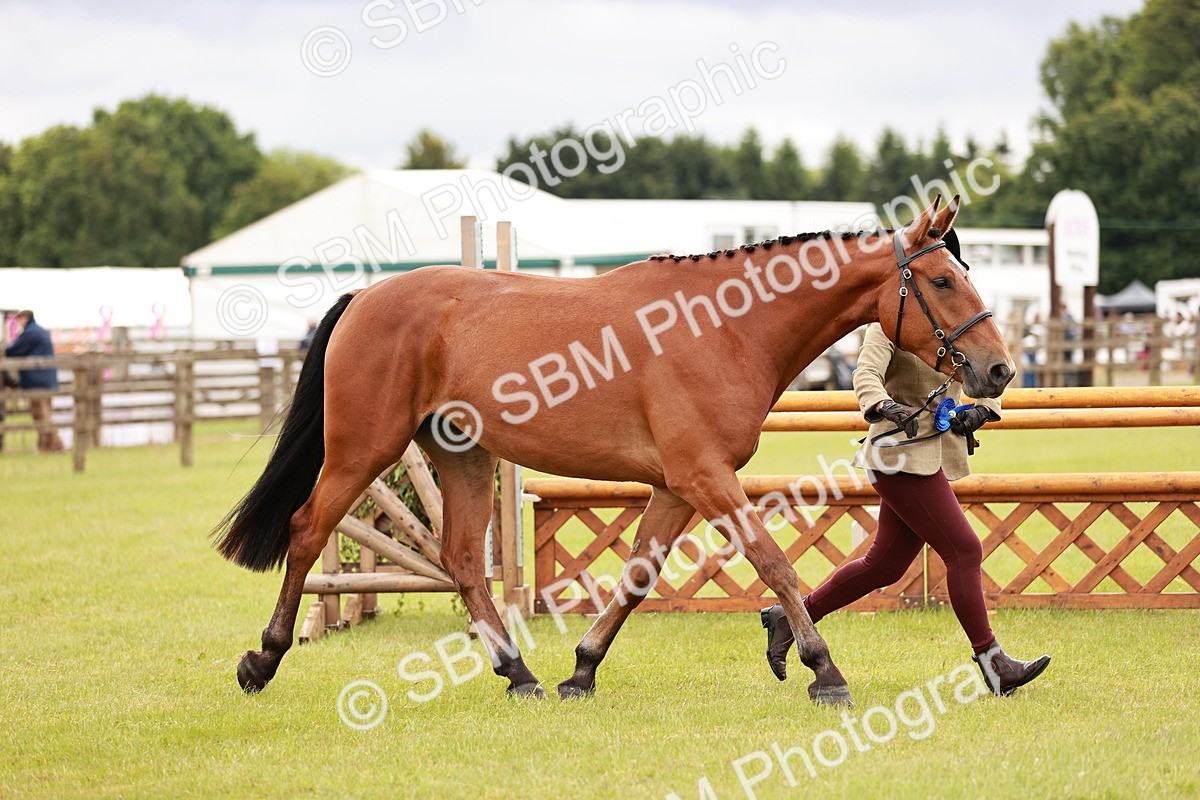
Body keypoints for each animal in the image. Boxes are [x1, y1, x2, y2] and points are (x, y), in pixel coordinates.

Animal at [214, 195, 1014, 706]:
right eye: (942, 279)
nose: (999, 371)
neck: (726, 328)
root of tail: (365, 297)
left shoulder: (677, 486)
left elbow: (636, 575)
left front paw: (582, 670)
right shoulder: (705, 478)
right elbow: (776, 564)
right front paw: (824, 671)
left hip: (464, 457)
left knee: (463, 560)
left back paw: (521, 675)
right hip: (363, 451)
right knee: (308, 530)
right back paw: (264, 658)